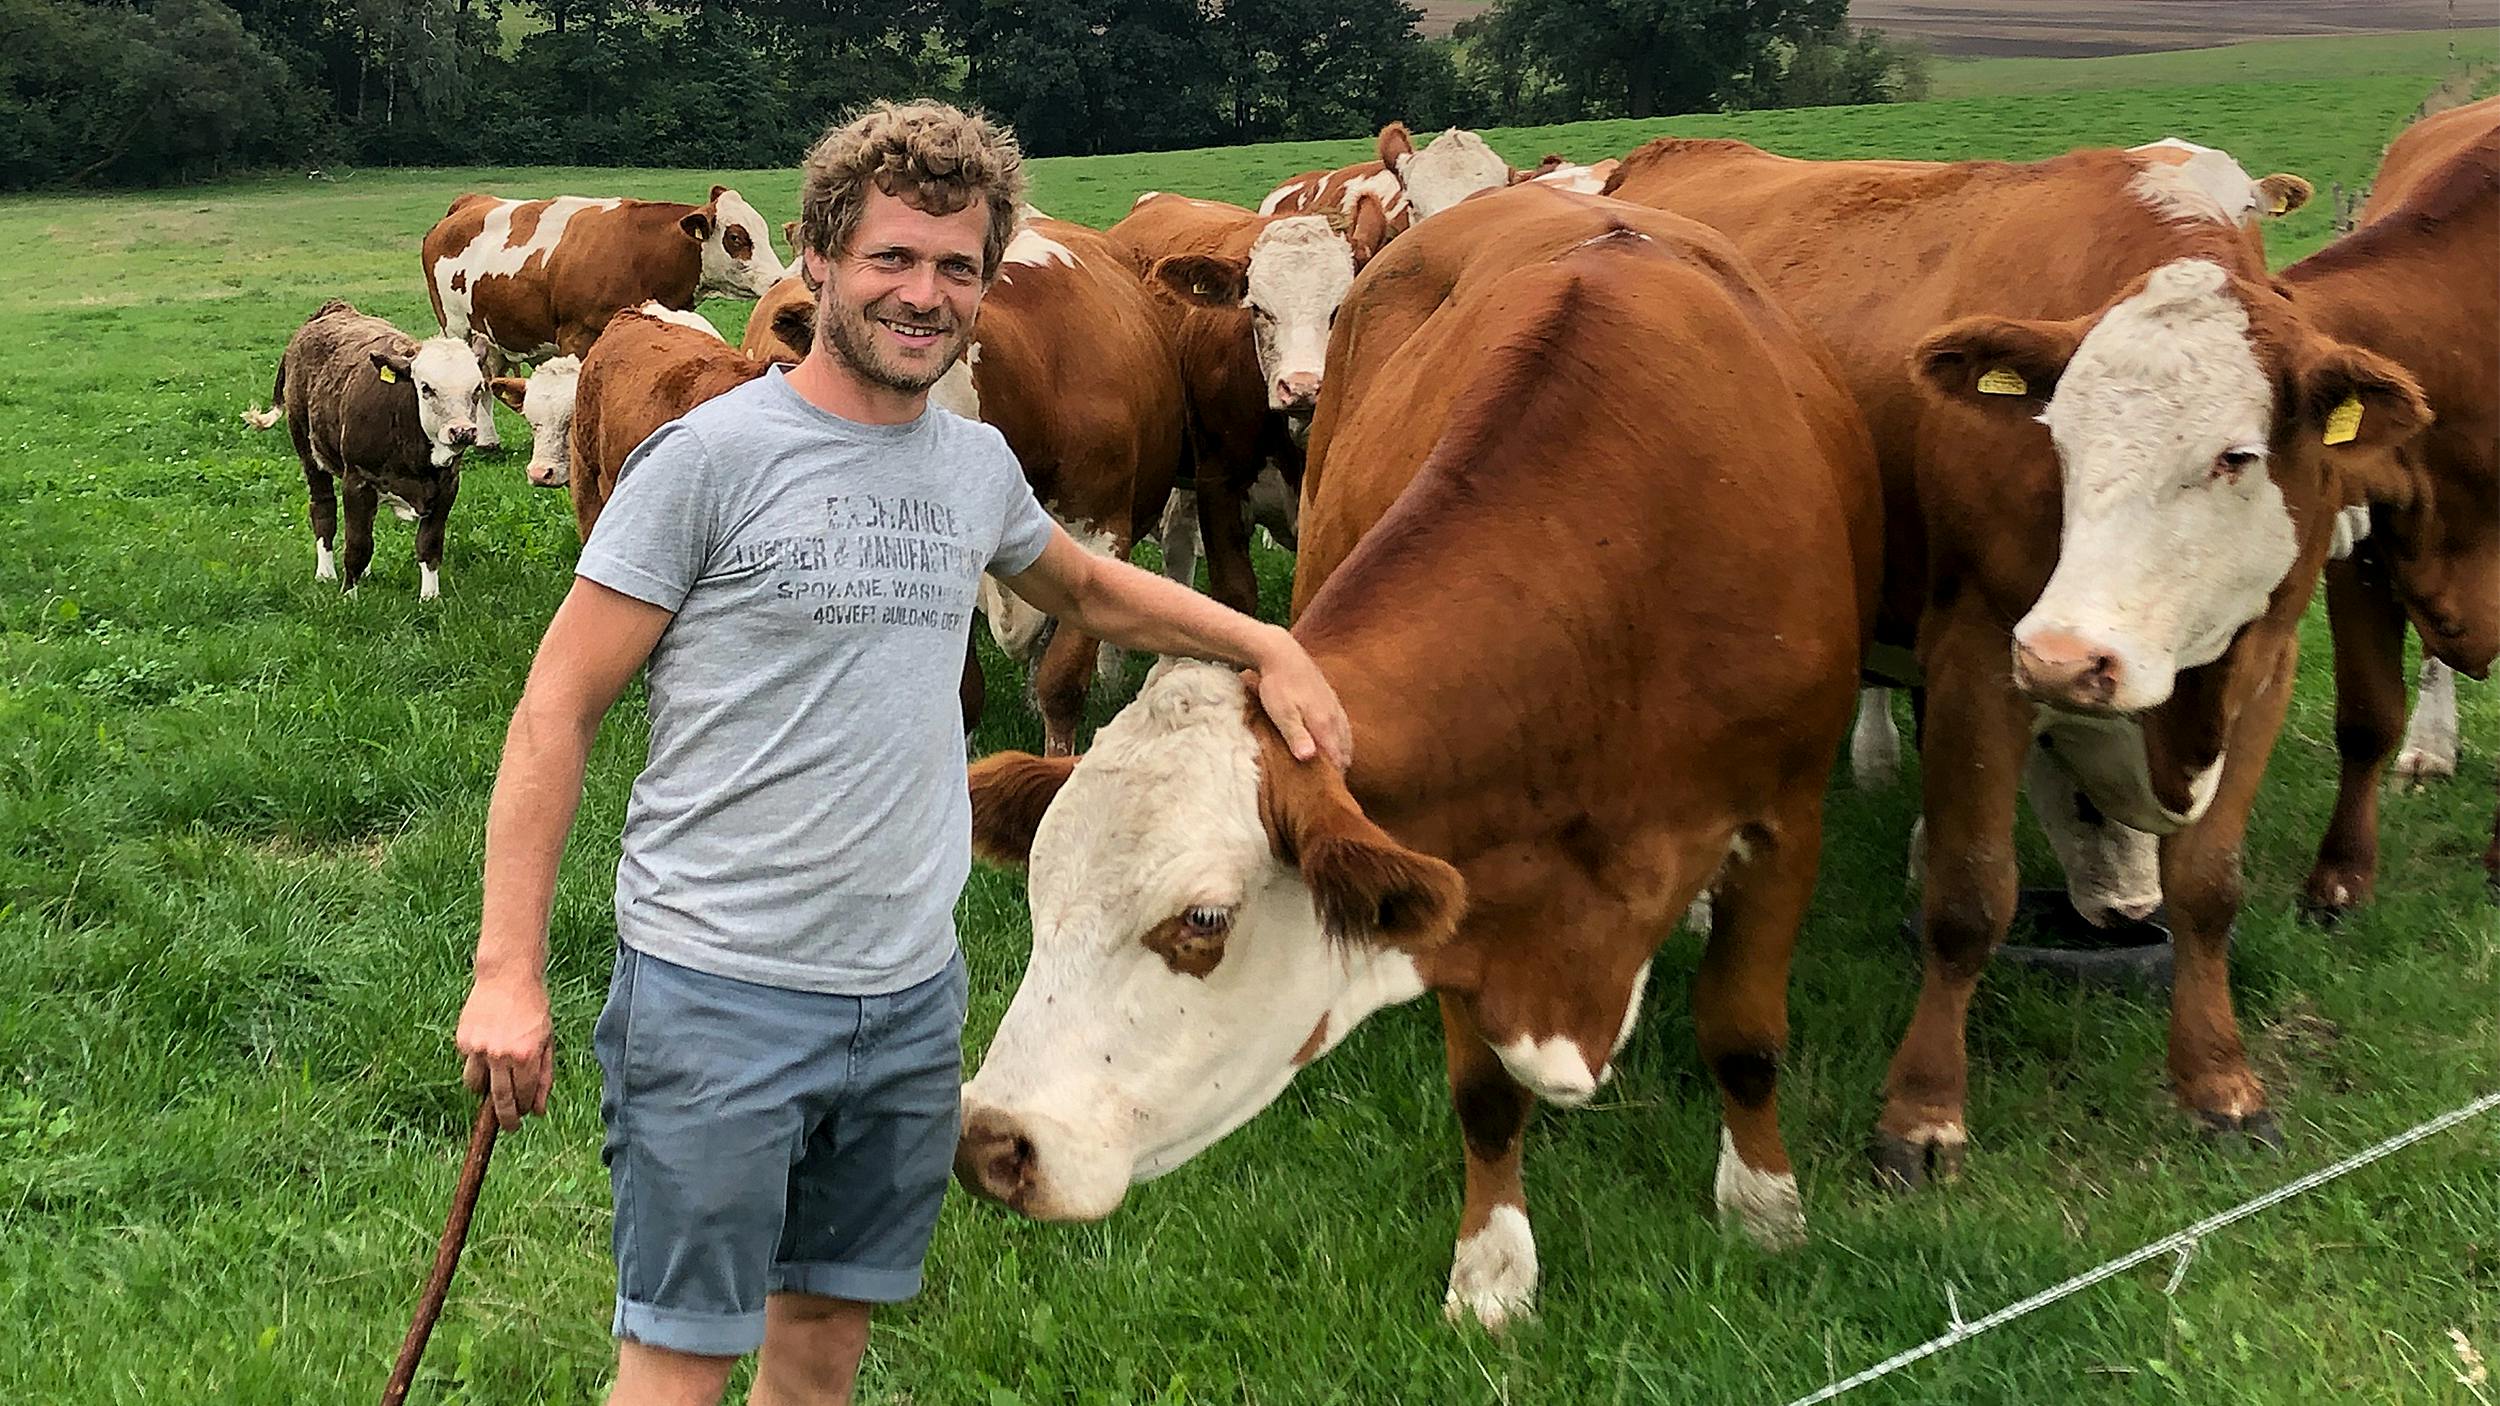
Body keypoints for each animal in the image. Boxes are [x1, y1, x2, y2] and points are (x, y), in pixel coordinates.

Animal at [251, 297, 490, 592]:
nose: (462, 431)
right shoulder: (357, 481)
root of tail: (335, 308)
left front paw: (430, 596)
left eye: (477, 388)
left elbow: (429, 545)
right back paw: (325, 573)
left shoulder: (448, 485)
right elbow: (357, 546)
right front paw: (347, 594)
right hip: (308, 452)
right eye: (426, 388)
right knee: (323, 508)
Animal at [1600, 139, 2420, 1170]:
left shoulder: (2263, 661)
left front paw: (2221, 1084)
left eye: (2235, 456)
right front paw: (1920, 1114)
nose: (2070, 658)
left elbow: (2208, 890)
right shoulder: (1981, 651)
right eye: (2055, 438)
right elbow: (1968, 897)